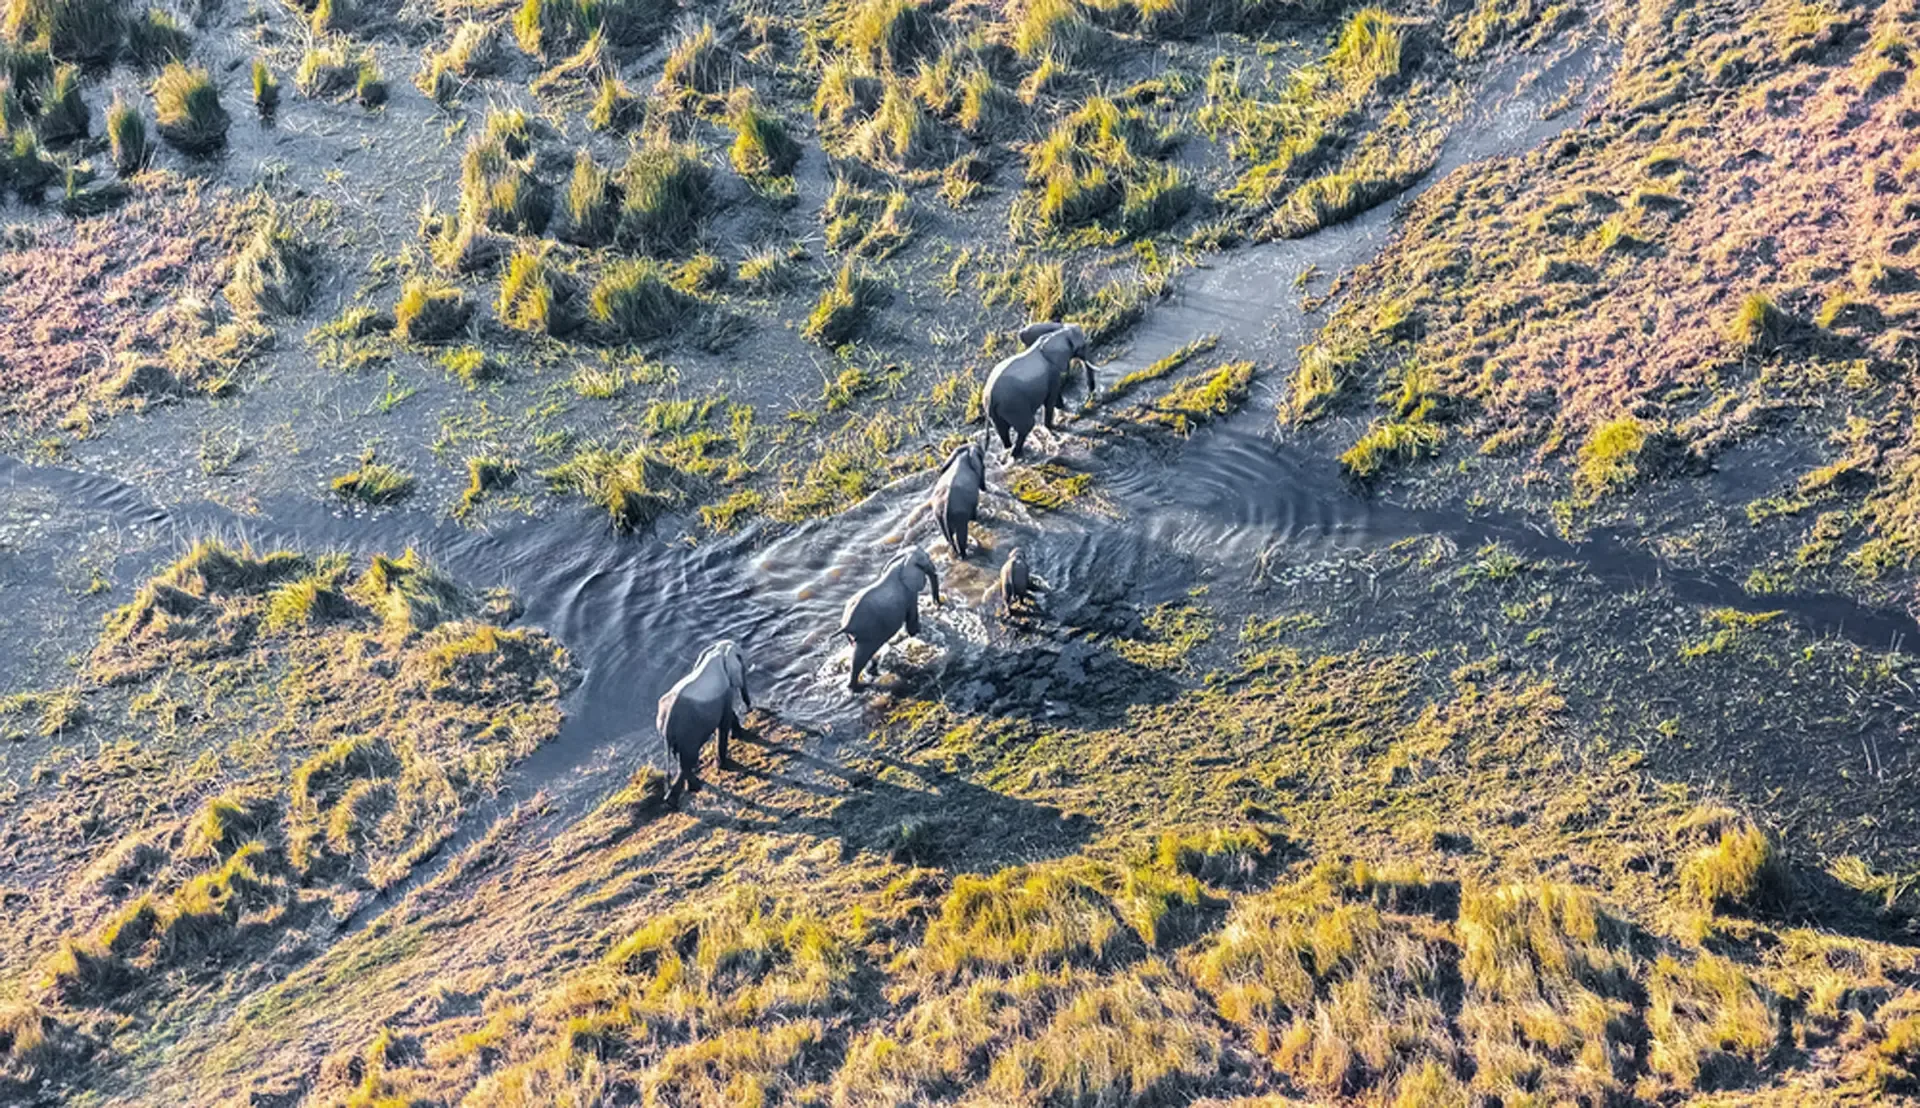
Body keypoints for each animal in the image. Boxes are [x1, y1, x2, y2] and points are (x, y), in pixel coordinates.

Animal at [656, 639, 750, 803]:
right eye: (742, 664)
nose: (749, 708)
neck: (718, 651)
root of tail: (667, 724)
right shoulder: (724, 691)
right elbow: (724, 722)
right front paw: (725, 765)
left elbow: (728, 715)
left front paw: (741, 735)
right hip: (688, 733)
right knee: (688, 761)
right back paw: (686, 793)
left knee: (683, 760)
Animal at [838, 547, 942, 690]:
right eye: (928, 559)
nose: (938, 604)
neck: (902, 561)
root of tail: (846, 625)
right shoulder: (909, 592)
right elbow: (912, 618)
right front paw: (916, 633)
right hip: (868, 633)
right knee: (860, 657)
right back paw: (861, 686)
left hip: (854, 636)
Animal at [983, 322, 1101, 459]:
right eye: (1082, 346)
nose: (1090, 397)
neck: (1054, 334)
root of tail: (991, 398)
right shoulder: (1052, 371)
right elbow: (1051, 399)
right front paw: (1055, 426)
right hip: (1013, 405)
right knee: (1026, 426)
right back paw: (1018, 454)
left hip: (997, 412)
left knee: (1002, 431)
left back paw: (1009, 450)